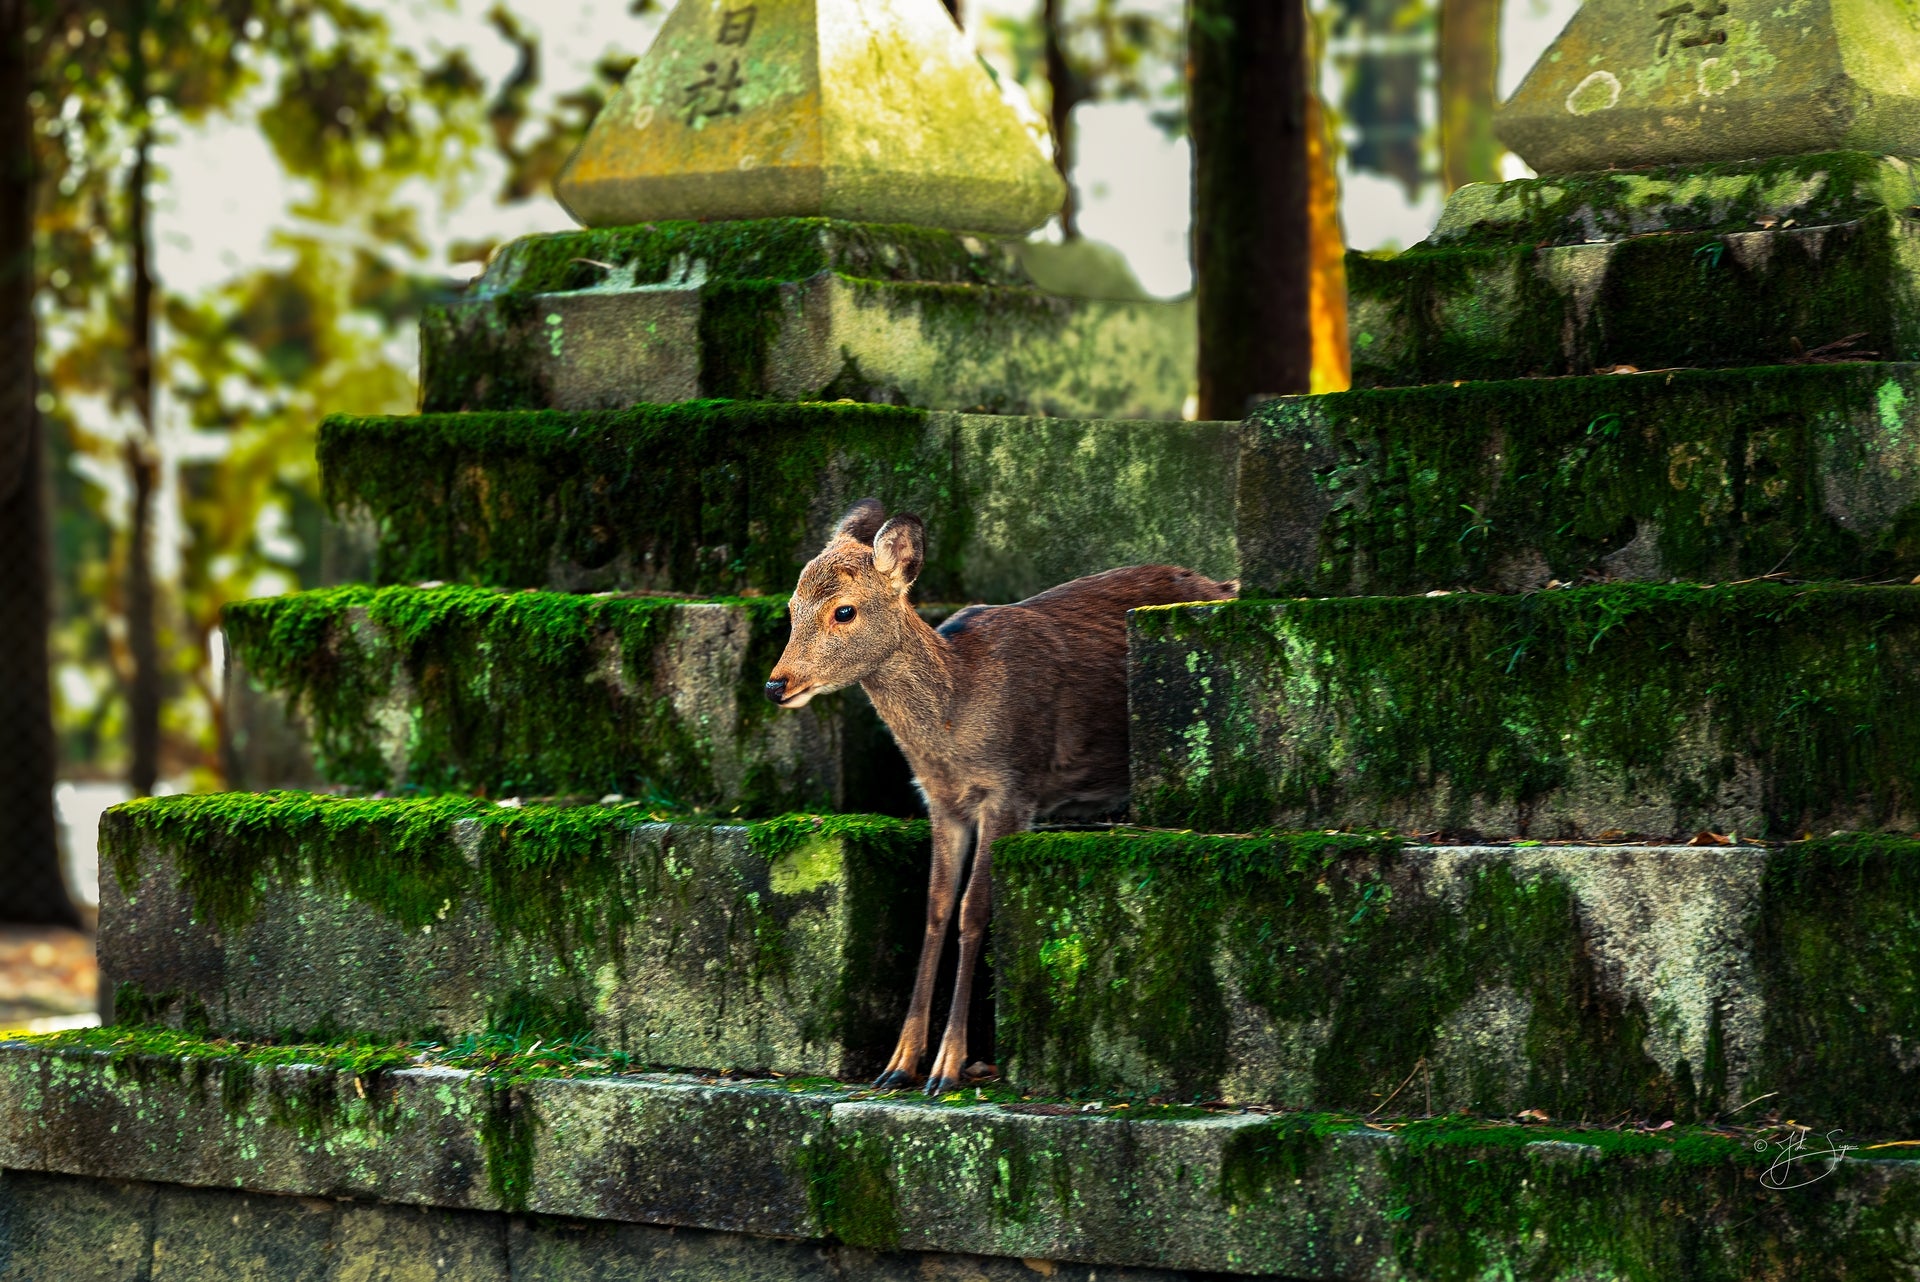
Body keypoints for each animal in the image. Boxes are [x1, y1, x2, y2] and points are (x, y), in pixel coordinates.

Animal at [763, 498, 1237, 1094]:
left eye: (843, 611)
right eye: (791, 606)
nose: (776, 684)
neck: (957, 719)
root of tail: (1228, 585)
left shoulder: (1011, 789)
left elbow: (974, 910)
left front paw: (947, 1067)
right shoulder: (942, 802)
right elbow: (936, 907)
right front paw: (898, 1063)